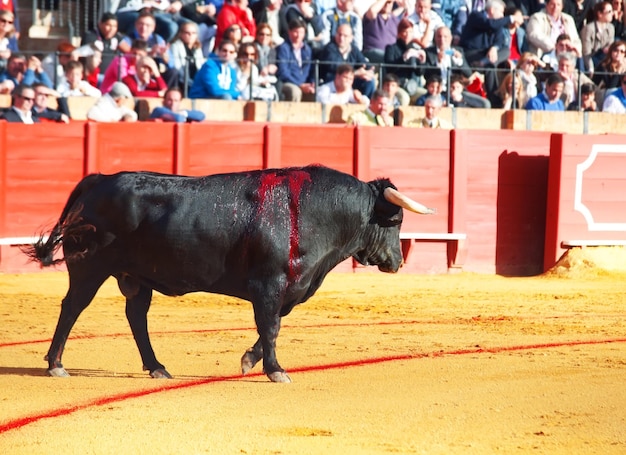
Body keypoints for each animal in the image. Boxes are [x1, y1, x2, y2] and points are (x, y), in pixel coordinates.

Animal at [24, 166, 434, 382]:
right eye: (396, 220)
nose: (397, 261)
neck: (311, 212)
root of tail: (99, 179)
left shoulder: (288, 289)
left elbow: (269, 326)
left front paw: (250, 361)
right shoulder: (269, 284)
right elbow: (270, 326)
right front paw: (275, 370)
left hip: (136, 278)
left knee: (136, 316)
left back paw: (157, 368)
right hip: (89, 268)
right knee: (72, 307)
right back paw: (56, 364)